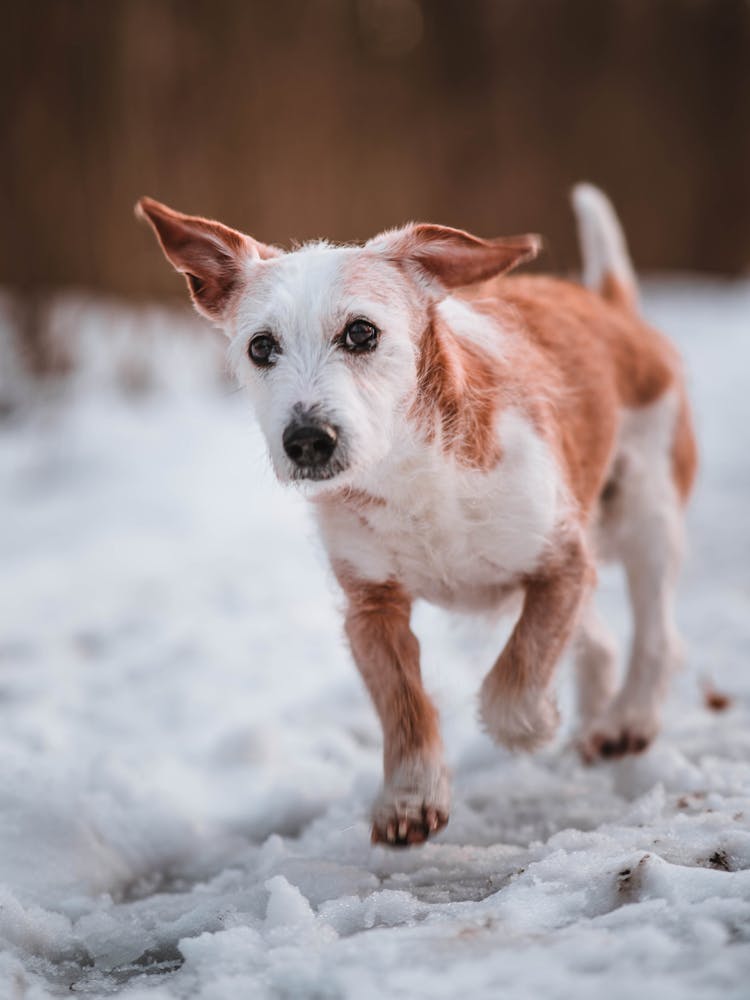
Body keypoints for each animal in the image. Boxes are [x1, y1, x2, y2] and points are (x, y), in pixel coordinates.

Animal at [137, 186, 700, 844]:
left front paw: (534, 724)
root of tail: (610, 305)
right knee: (603, 641)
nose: (307, 441)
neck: (409, 469)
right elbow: (402, 702)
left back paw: (626, 718)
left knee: (659, 635)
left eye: (361, 333)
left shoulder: (561, 560)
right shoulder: (370, 607)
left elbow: (513, 683)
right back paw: (593, 717)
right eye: (260, 347)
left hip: (647, 517)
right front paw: (410, 797)